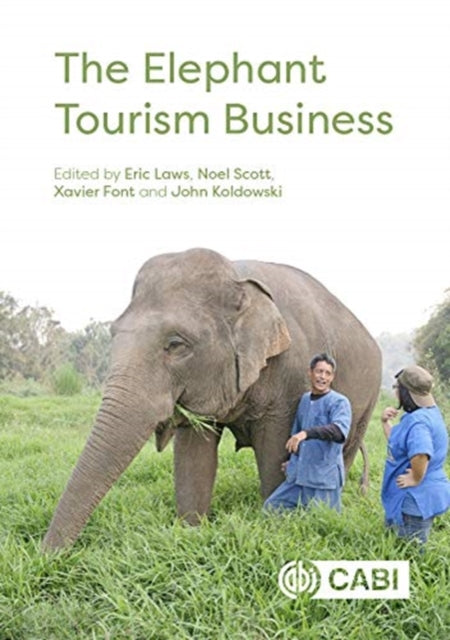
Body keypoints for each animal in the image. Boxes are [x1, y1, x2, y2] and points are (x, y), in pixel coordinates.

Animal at [43, 248, 381, 551]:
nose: (47, 557)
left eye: (176, 344)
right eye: (113, 334)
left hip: (369, 397)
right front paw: (191, 531)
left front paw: (277, 522)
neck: (236, 274)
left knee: (345, 449)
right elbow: (194, 452)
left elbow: (277, 449)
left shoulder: (293, 374)